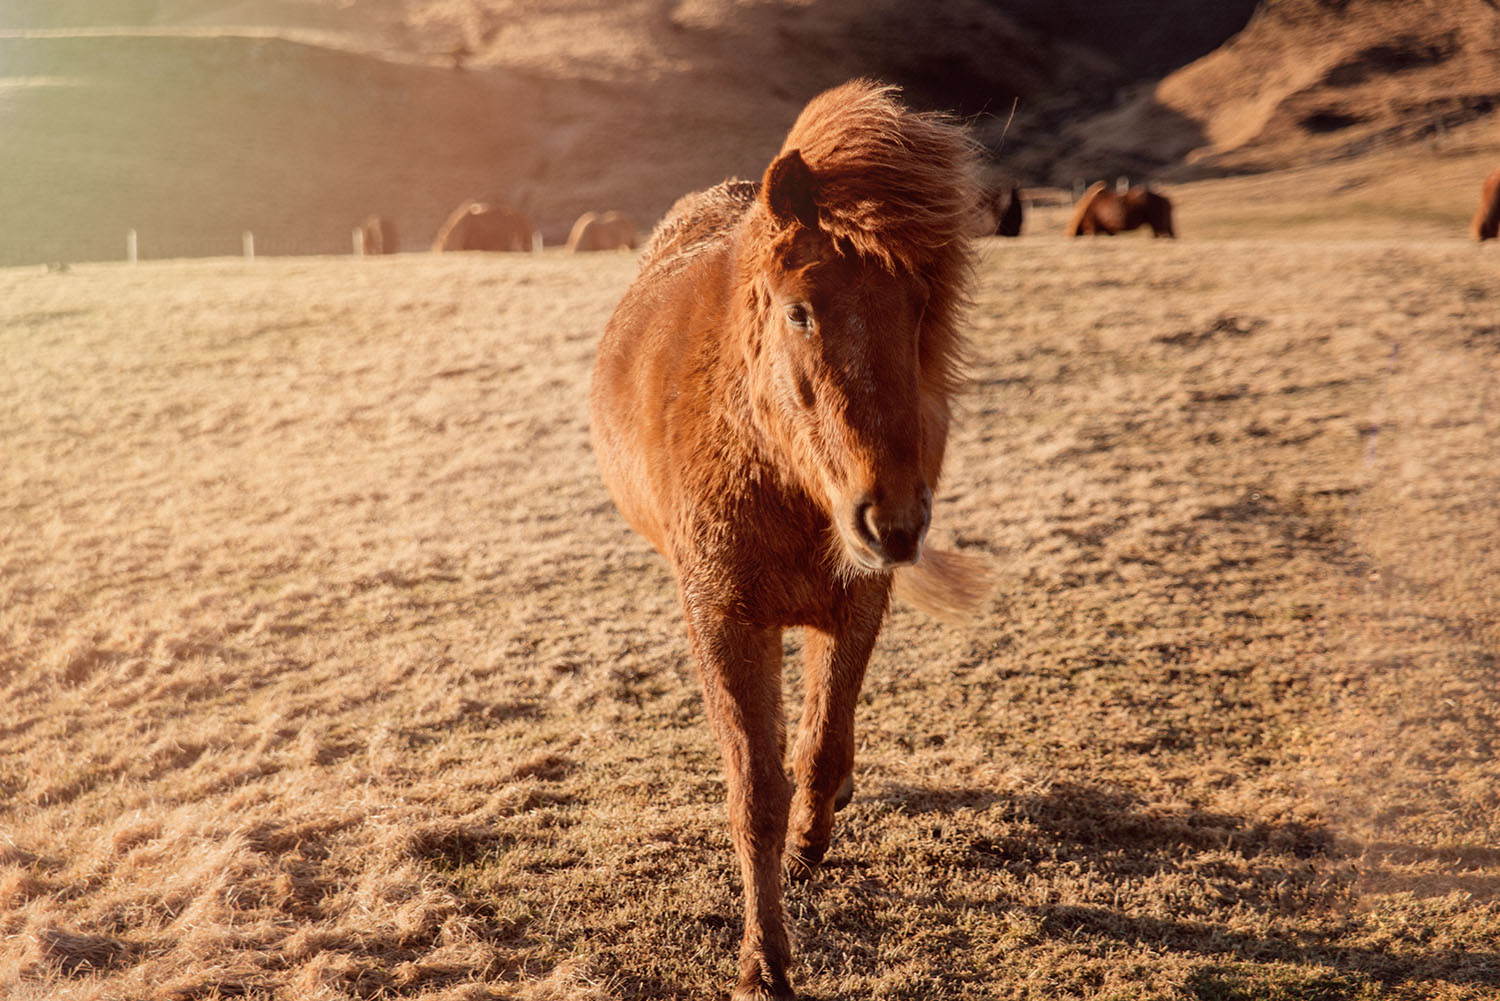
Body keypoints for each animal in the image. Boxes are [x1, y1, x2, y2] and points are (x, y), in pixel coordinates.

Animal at [591, 80, 990, 1001]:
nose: (893, 517)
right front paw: (764, 962)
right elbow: (756, 790)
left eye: (920, 311)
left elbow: (822, 740)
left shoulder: (857, 599)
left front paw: (814, 837)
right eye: (801, 311)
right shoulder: (727, 618)